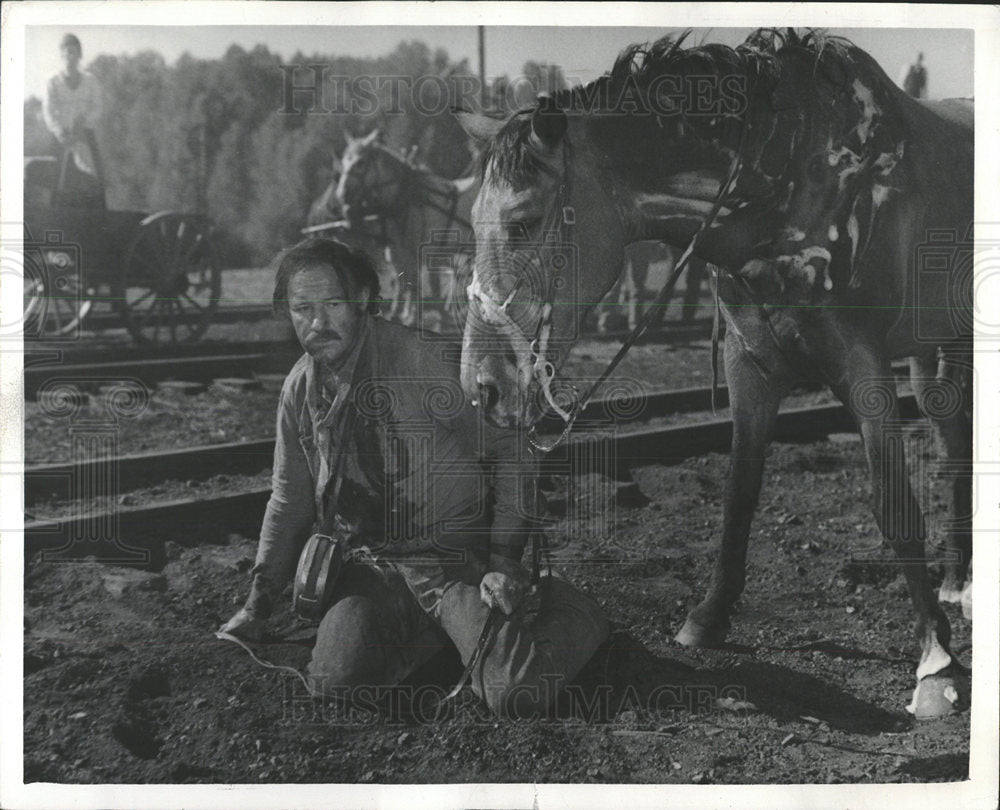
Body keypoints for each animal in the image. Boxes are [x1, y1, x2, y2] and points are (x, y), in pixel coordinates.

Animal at [334, 128, 478, 330]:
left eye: (360, 162)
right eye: (344, 162)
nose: (341, 196)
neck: (405, 199)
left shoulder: (415, 255)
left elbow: (413, 286)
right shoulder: (399, 255)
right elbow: (403, 284)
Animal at [458, 28, 972, 716]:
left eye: (524, 220)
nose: (481, 386)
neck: (791, 177)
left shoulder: (864, 370)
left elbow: (894, 506)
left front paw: (937, 663)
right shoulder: (750, 366)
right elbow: (738, 494)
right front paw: (710, 615)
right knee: (953, 437)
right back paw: (956, 579)